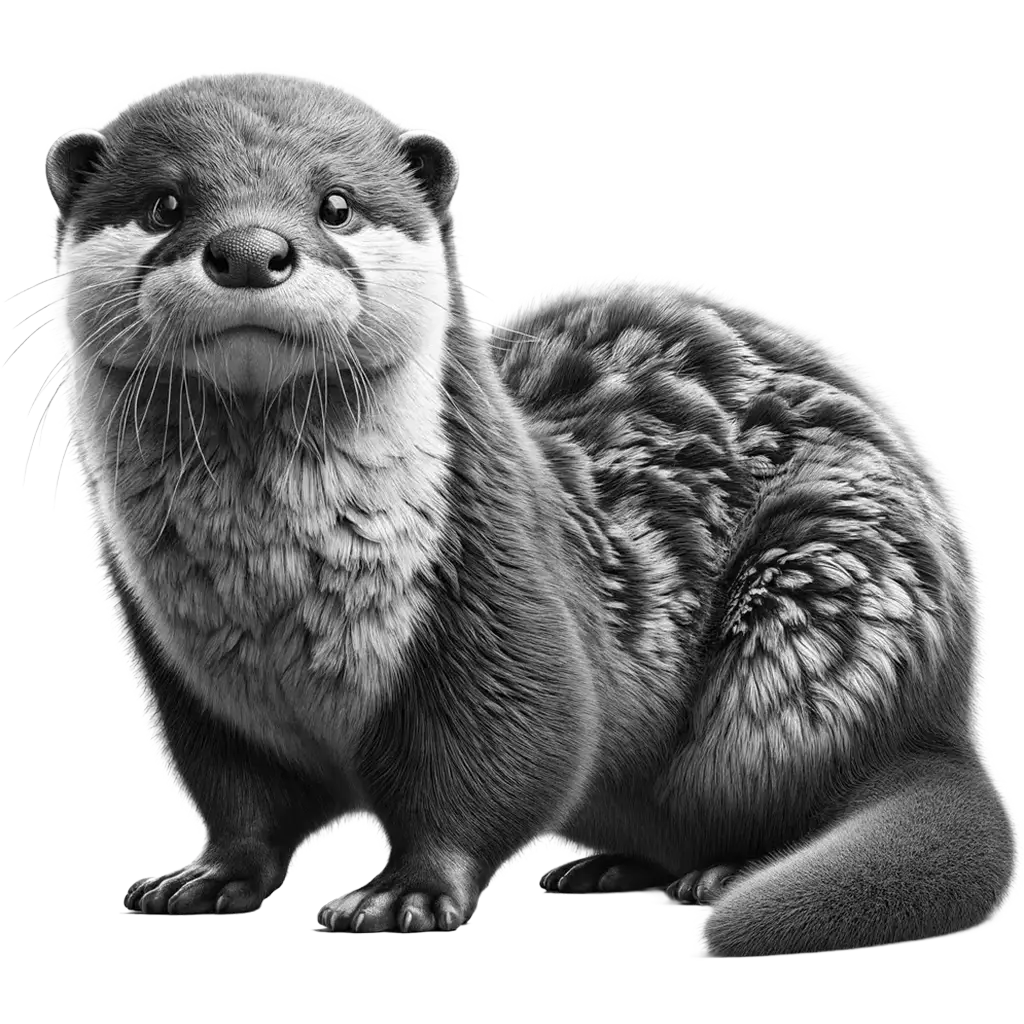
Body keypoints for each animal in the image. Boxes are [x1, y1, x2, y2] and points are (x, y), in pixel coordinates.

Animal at [42, 71, 1017, 956]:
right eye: (164, 203)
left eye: (336, 204)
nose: (249, 249)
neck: (278, 606)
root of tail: (945, 711)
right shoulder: (189, 679)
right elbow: (239, 798)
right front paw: (205, 878)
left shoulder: (497, 584)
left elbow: (505, 760)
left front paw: (403, 895)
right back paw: (611, 869)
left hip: (824, 618)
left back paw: (723, 874)